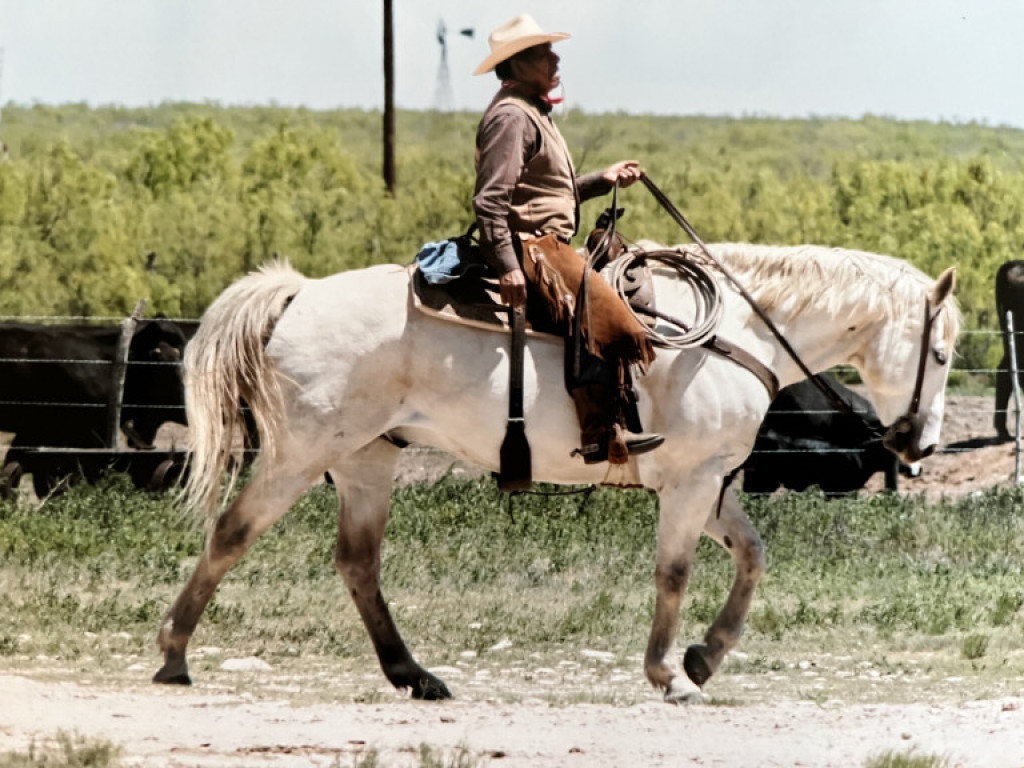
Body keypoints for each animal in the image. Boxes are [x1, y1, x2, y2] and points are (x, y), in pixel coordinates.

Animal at [153, 243, 959, 703]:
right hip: (301, 452)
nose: (919, 444)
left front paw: (704, 656)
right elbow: (674, 574)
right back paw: (174, 655)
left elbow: (753, 558)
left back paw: (415, 675)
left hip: (366, 461)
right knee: (232, 533)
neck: (736, 332)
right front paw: (669, 673)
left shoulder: (711, 486)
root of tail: (301, 291)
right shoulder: (690, 486)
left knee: (357, 563)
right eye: (942, 352)